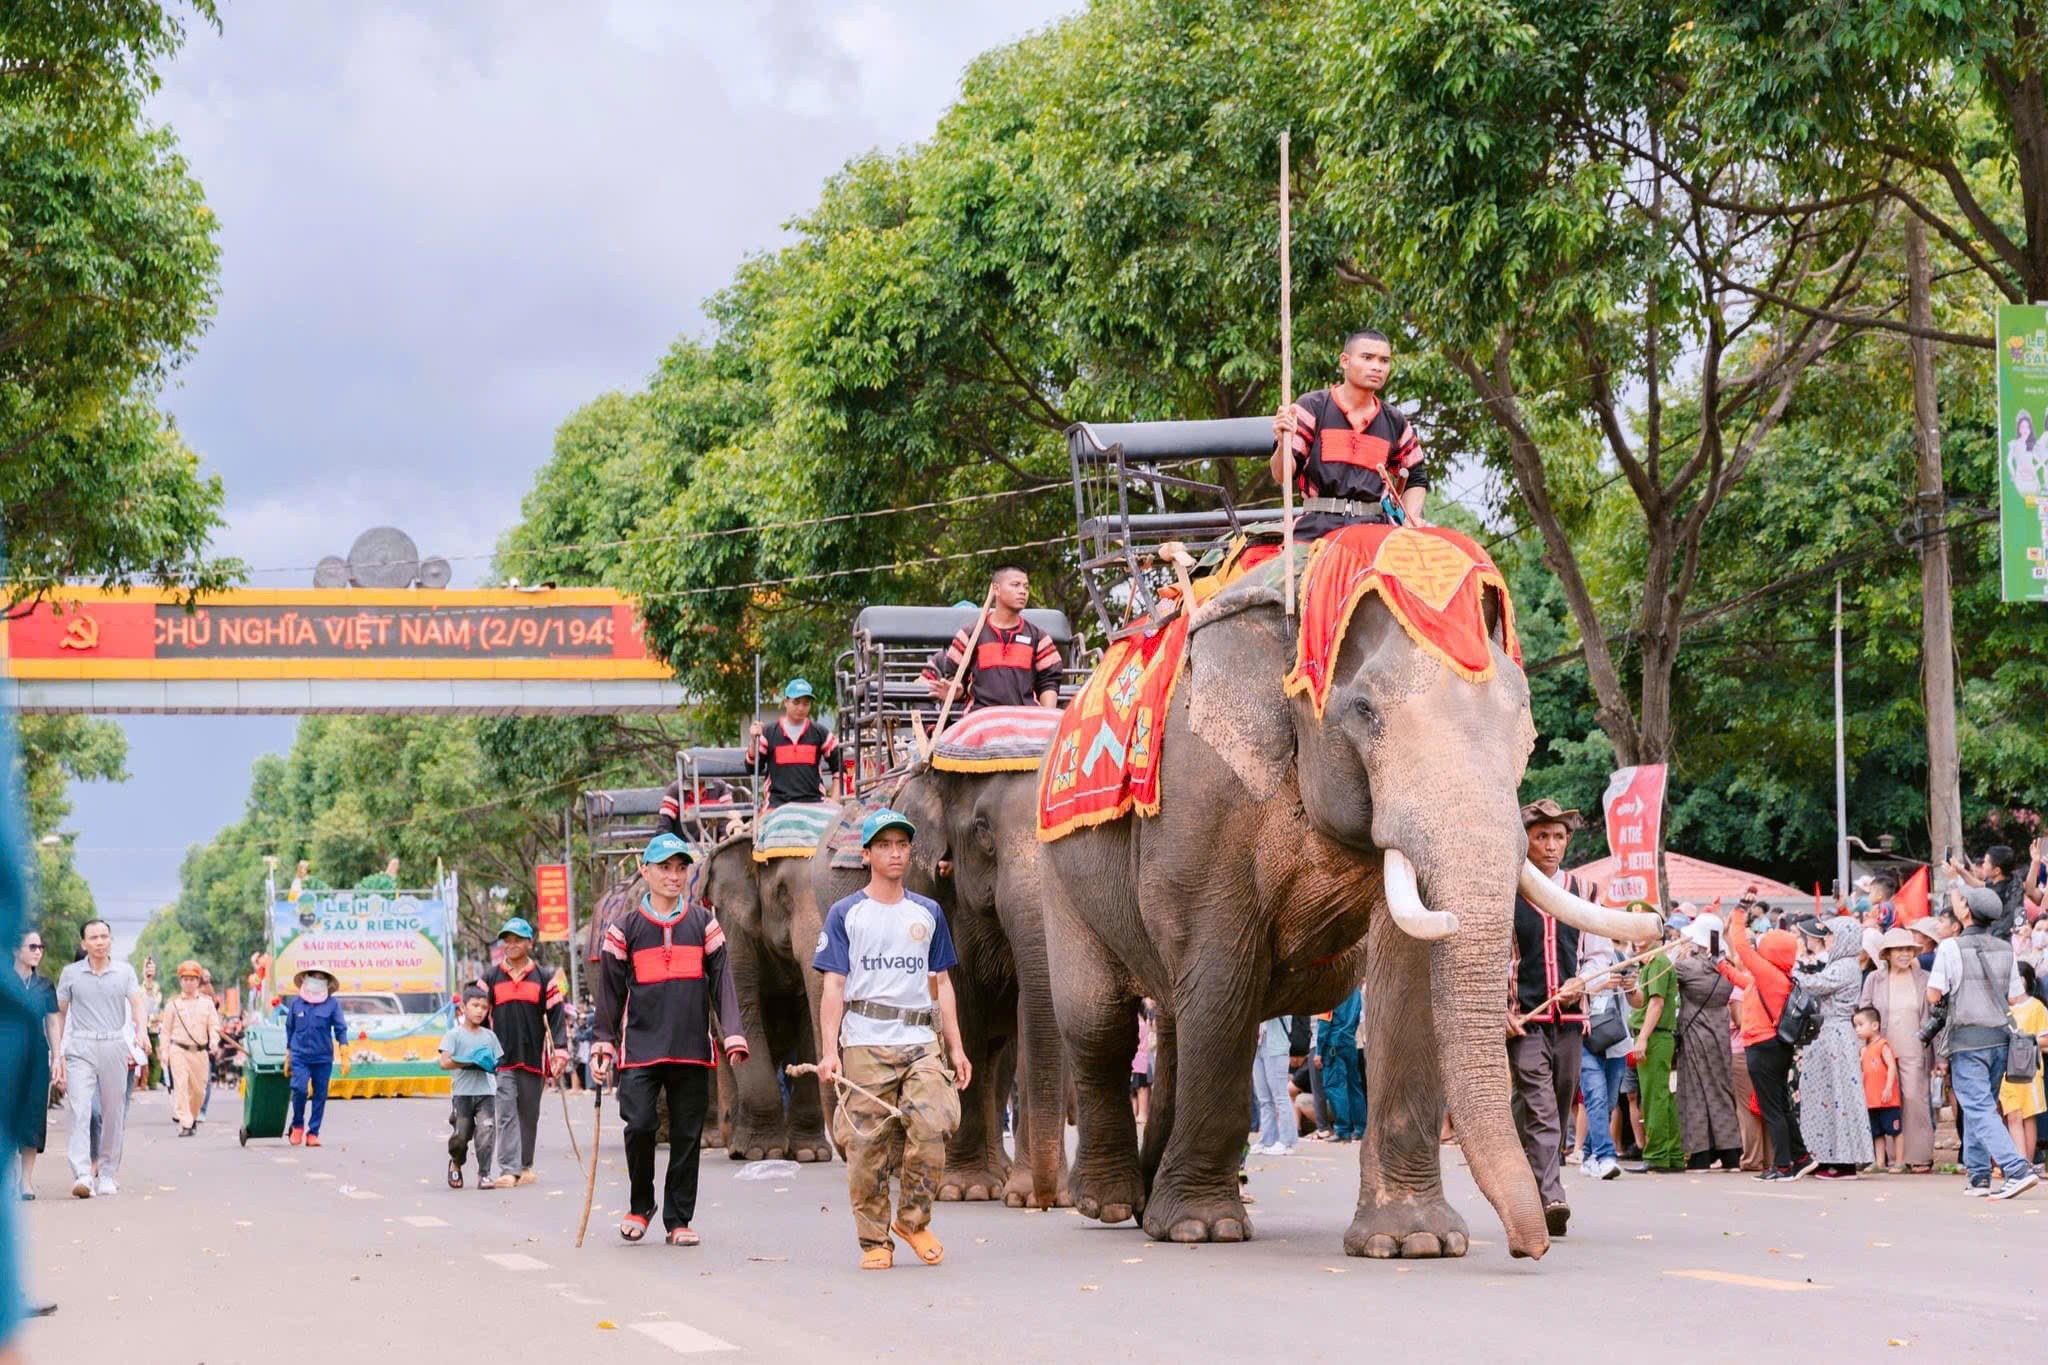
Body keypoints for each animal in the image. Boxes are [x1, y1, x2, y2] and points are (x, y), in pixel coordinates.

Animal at [1040, 564, 1662, 1260]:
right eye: (1365, 712)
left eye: (1524, 732)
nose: (1530, 1247)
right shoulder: (1201, 792)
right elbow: (1224, 978)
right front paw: (1203, 1229)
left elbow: (1408, 980)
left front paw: (1416, 1242)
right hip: (1059, 876)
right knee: (1100, 1024)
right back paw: (1111, 1204)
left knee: (1172, 1020)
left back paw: (1148, 1203)